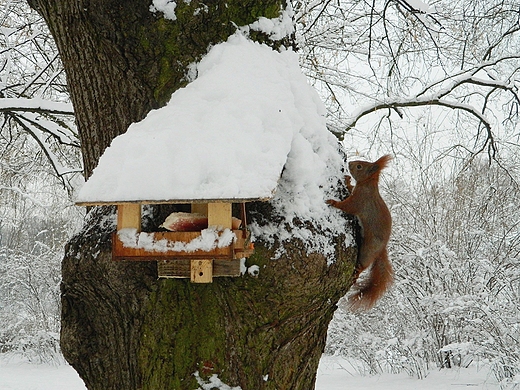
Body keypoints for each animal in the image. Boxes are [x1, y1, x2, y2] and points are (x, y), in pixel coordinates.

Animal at [328, 155, 392, 310]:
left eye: (359, 166)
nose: (349, 163)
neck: (367, 185)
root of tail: (381, 249)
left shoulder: (359, 201)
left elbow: (347, 206)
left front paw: (333, 202)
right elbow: (350, 189)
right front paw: (347, 181)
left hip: (367, 251)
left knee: (363, 265)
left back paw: (356, 273)